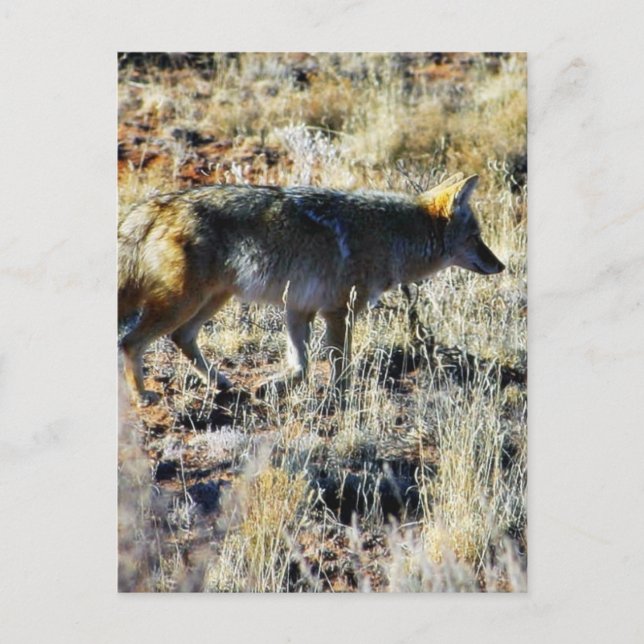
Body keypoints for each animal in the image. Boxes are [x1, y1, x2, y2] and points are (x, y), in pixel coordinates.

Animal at [118, 173, 505, 405]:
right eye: (476, 237)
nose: (501, 265)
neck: (392, 235)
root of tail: (156, 205)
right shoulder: (339, 312)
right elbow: (339, 365)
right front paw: (340, 399)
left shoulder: (298, 308)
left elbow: (302, 366)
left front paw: (274, 386)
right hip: (186, 303)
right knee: (131, 342)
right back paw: (142, 396)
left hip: (213, 299)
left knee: (181, 338)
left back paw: (222, 382)